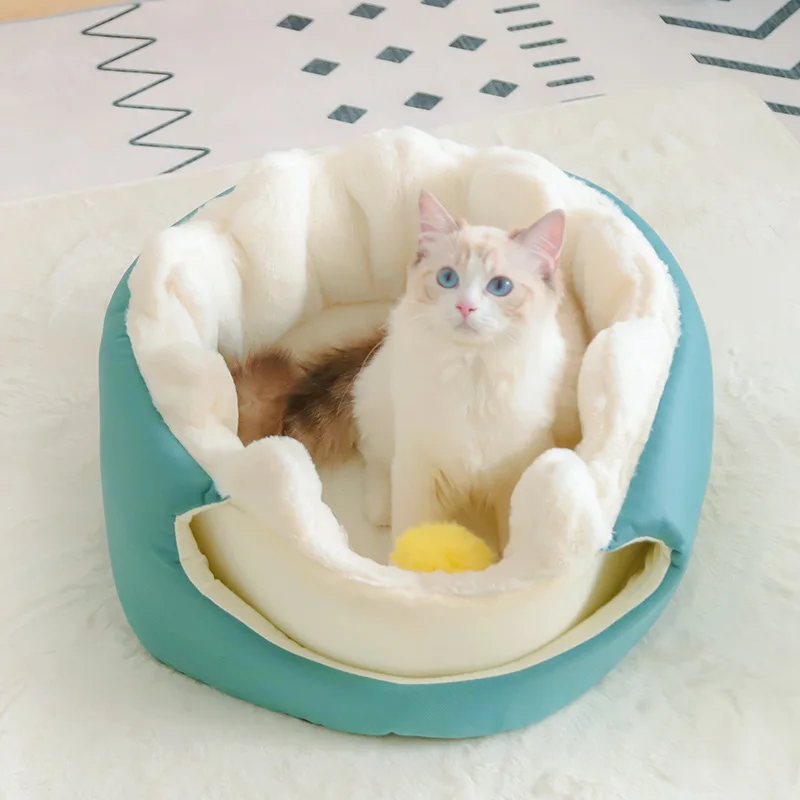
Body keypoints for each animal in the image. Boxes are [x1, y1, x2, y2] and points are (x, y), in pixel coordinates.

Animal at [231, 190, 583, 553]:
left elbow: (511, 542)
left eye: (500, 286)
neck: (473, 371)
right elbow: (411, 537)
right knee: (374, 457)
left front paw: (506, 564)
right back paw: (379, 505)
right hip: (375, 403)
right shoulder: (419, 468)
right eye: (447, 278)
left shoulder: (513, 472)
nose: (465, 307)